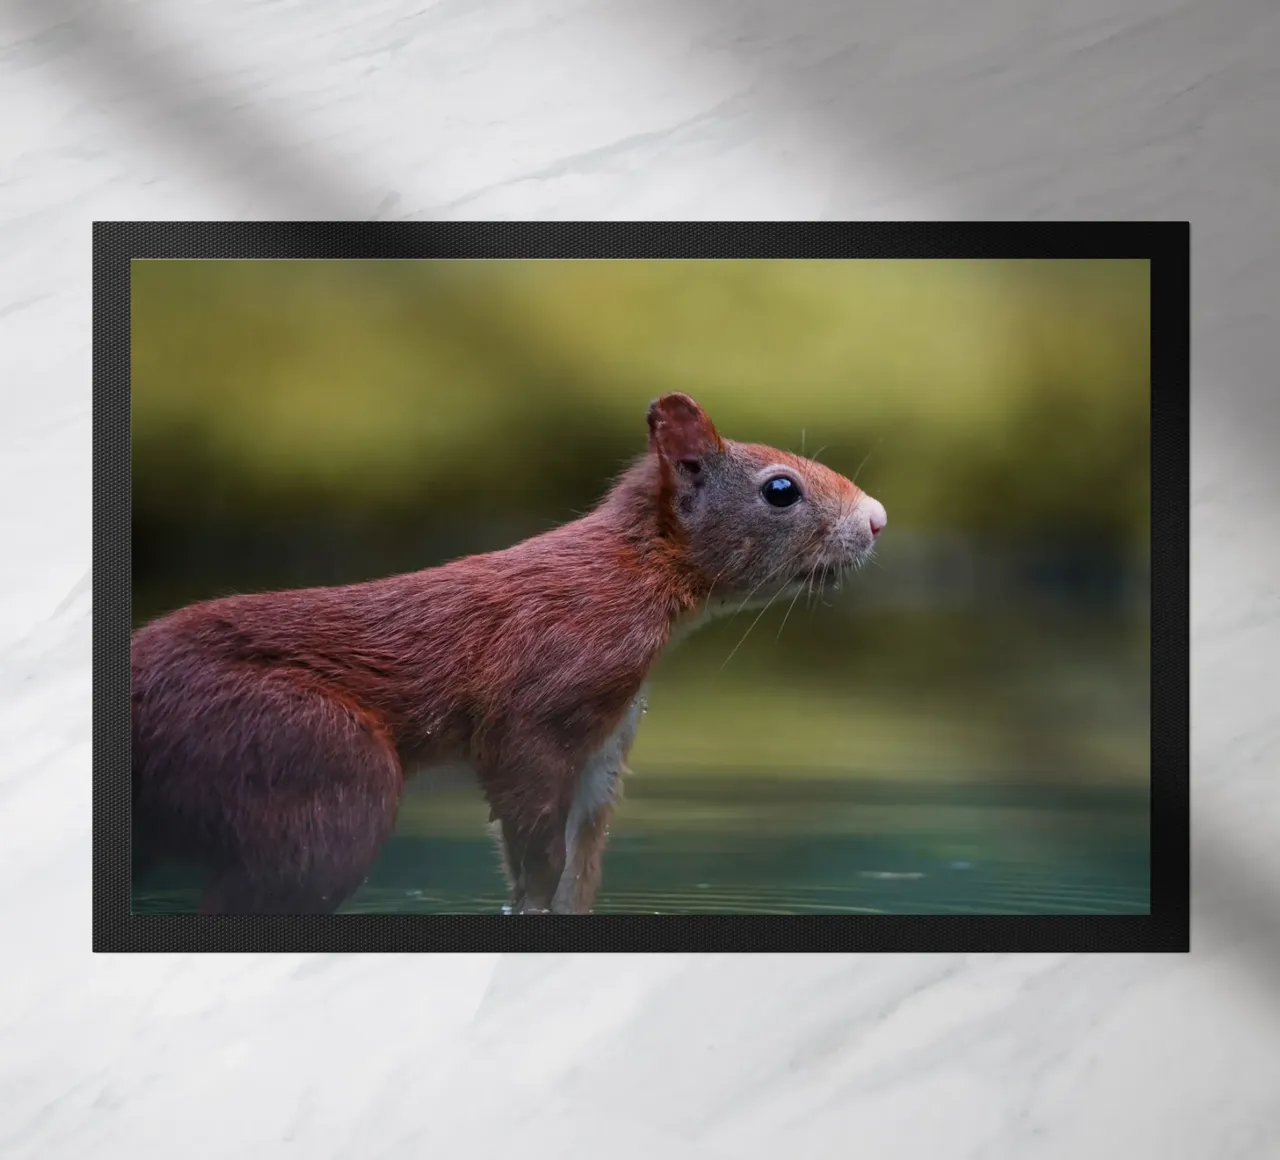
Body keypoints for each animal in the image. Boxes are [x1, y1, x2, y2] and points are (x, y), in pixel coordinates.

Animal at [131, 393, 886, 915]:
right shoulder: (543, 693)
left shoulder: (607, 740)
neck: (633, 576)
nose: (877, 518)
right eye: (781, 489)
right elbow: (533, 835)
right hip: (304, 756)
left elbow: (582, 856)